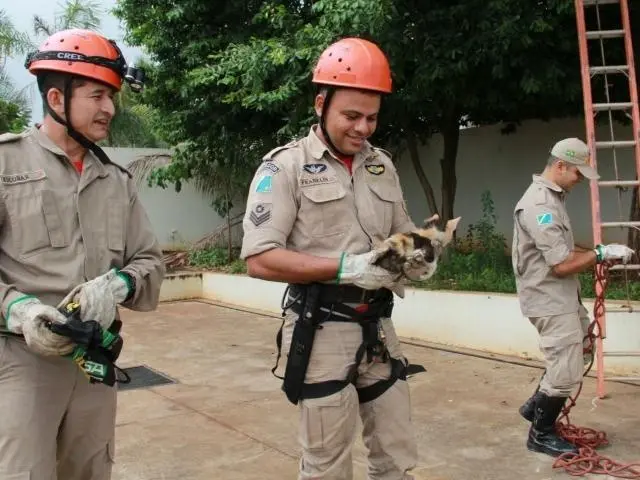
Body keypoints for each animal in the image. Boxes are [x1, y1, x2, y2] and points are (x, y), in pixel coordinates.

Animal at [240, 37, 450, 480]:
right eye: (351, 115)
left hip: (381, 365)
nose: (362, 132)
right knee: (326, 449)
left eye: (368, 118)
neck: (342, 152)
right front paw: (361, 268)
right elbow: (265, 250)